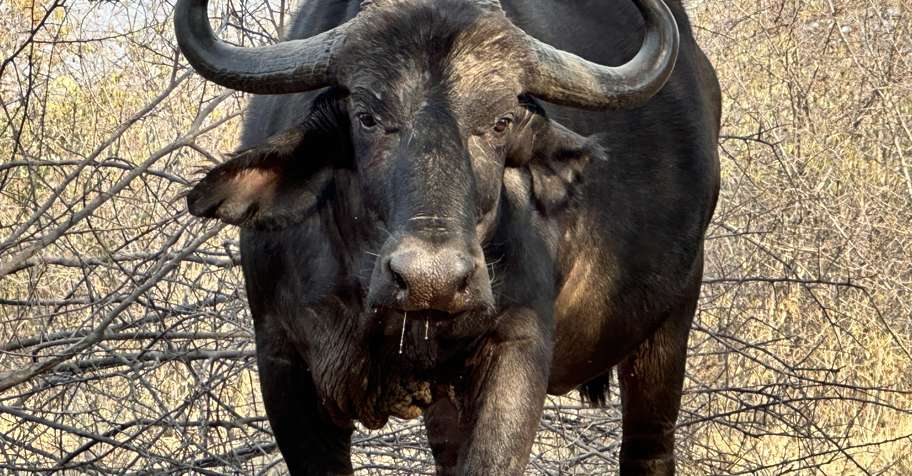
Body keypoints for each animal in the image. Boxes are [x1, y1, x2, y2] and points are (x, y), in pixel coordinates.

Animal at [175, 0, 720, 473]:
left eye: (500, 122)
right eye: (367, 117)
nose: (430, 279)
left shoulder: (518, 347)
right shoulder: (281, 358)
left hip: (670, 325)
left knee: (649, 445)